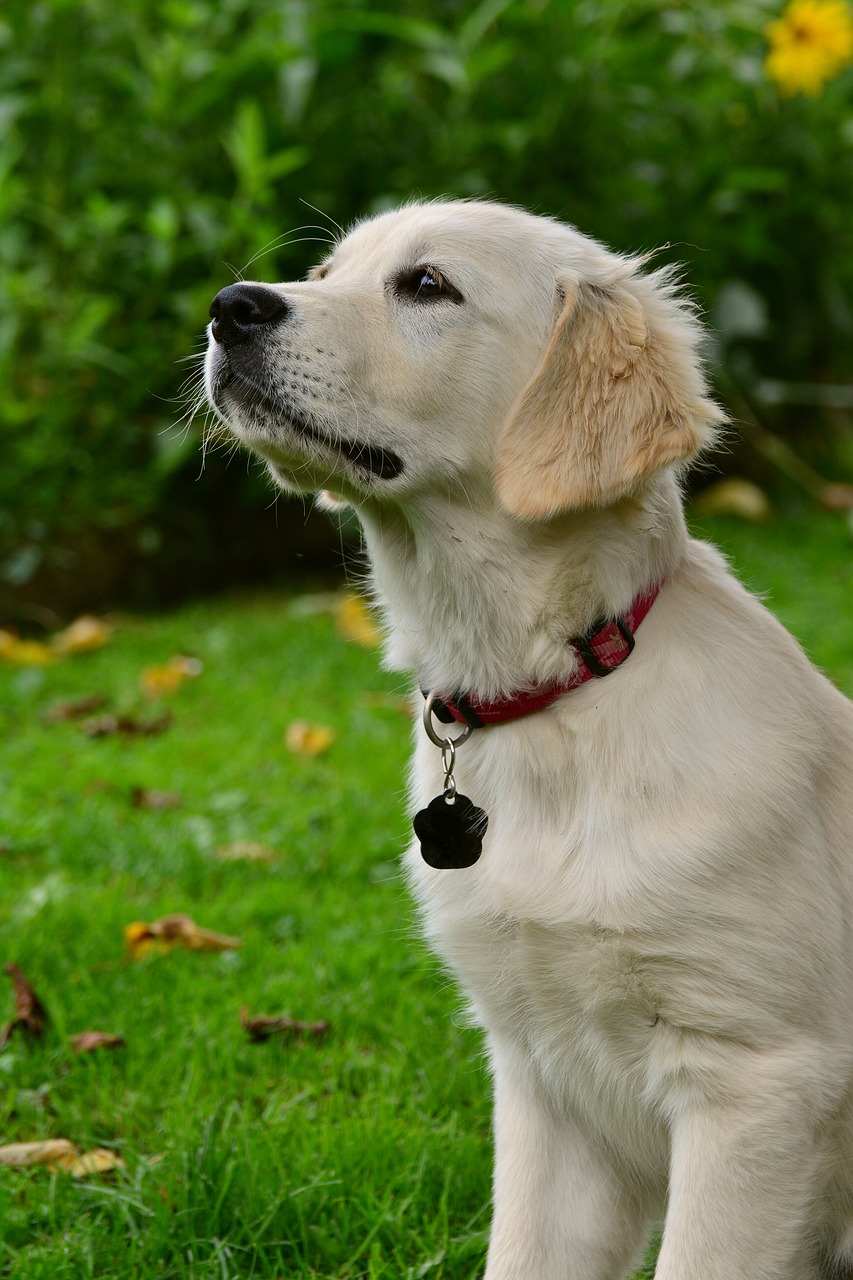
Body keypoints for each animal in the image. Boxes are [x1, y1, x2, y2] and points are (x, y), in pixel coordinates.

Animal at [202, 202, 850, 1280]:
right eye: (326, 272)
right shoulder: (545, 1077)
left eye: (426, 285)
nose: (228, 307)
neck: (554, 692)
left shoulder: (754, 1082)